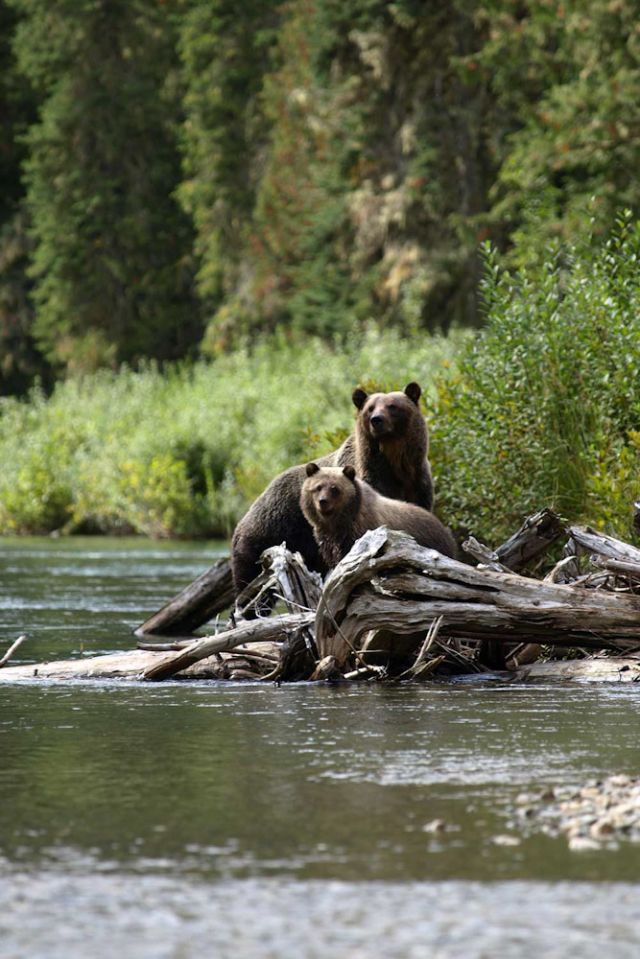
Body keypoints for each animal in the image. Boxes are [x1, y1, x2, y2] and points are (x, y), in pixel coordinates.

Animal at [231, 381, 434, 594]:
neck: (395, 465)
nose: (376, 420)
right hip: (269, 534)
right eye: (370, 408)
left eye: (392, 406)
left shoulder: (418, 485)